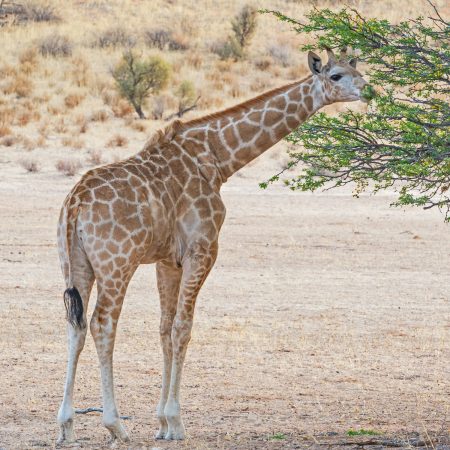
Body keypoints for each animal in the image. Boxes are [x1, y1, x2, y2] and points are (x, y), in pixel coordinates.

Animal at [55, 48, 370, 442]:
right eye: (337, 75)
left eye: (358, 70)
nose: (367, 90)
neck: (218, 159)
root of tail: (75, 204)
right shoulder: (202, 248)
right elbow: (183, 328)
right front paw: (175, 421)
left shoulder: (167, 260)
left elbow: (165, 328)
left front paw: (162, 424)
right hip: (117, 263)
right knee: (102, 324)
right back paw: (116, 426)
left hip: (75, 263)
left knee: (75, 325)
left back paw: (65, 426)